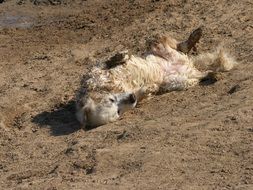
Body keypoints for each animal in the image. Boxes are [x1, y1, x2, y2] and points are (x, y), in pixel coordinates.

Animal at [75, 27, 237, 129]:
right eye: (118, 113)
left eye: (111, 99)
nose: (132, 98)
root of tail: (189, 64)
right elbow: (144, 93)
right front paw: (147, 88)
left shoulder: (93, 73)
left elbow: (106, 62)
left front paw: (119, 56)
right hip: (178, 81)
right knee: (200, 74)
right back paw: (213, 74)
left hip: (155, 43)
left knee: (179, 45)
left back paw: (195, 35)